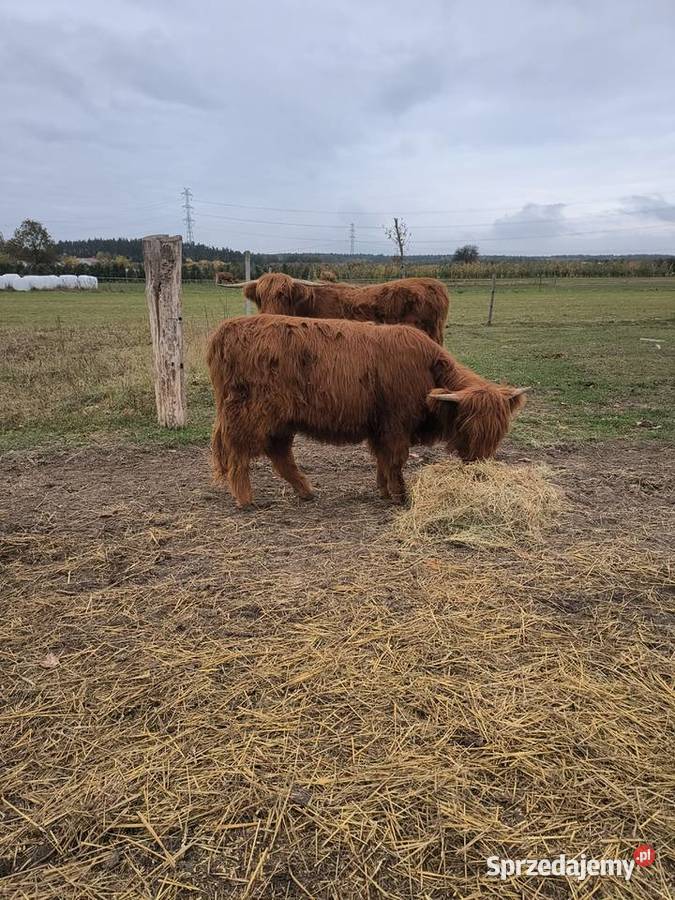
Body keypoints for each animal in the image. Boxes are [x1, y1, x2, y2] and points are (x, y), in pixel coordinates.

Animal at [206, 314, 527, 508]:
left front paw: (384, 491)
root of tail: (226, 330)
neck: (428, 371)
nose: (480, 469)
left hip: (281, 421)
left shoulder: (380, 428)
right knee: (239, 455)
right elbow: (396, 460)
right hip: (250, 415)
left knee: (280, 455)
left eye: (499, 433)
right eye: (468, 427)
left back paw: (306, 491)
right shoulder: (396, 425)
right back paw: (246, 499)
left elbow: (383, 461)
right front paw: (400, 495)